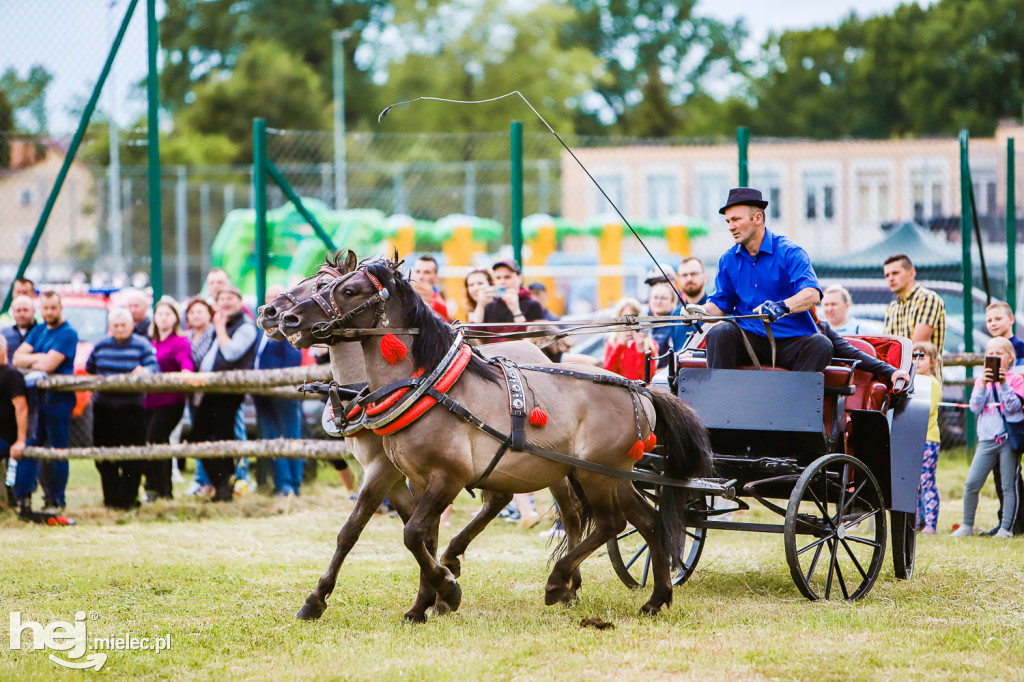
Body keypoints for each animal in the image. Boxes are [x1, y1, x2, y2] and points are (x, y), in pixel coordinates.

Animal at [256, 250, 585, 622]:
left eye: (328, 285)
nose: (276, 314)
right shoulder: (401, 476)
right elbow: (408, 532)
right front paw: (433, 595)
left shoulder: (385, 471)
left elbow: (363, 531)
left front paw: (436, 594)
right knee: (498, 500)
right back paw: (455, 560)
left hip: (547, 465)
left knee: (571, 510)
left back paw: (569, 582)